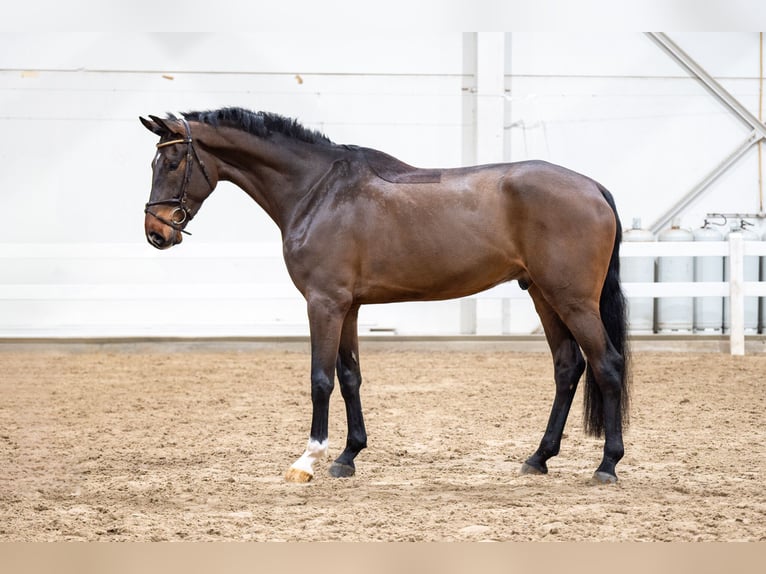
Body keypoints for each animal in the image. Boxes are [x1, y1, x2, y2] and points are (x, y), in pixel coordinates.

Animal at [141, 107, 632, 486]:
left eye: (173, 162)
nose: (156, 233)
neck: (317, 190)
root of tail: (593, 187)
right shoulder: (349, 307)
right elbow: (349, 377)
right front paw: (347, 456)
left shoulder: (324, 303)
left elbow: (320, 380)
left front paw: (308, 460)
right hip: (544, 297)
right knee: (568, 367)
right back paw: (538, 458)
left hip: (573, 301)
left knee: (606, 365)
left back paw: (607, 465)